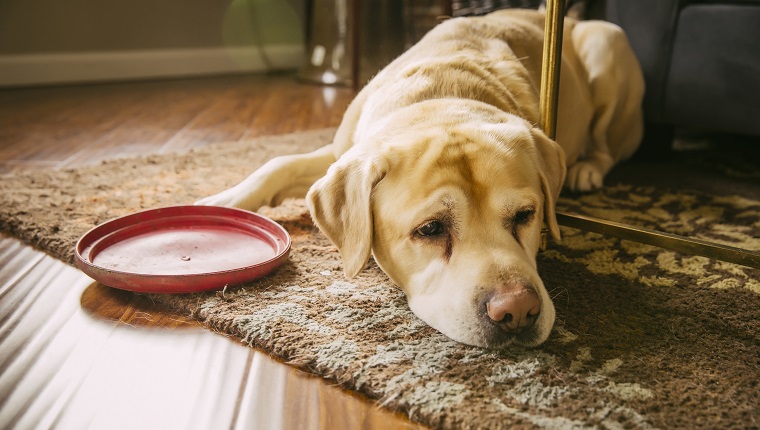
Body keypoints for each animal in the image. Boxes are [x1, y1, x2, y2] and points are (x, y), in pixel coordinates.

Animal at [196, 8, 640, 348]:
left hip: (608, 43)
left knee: (606, 146)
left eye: (525, 216)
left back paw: (586, 169)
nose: (517, 310)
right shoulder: (341, 151)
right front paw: (220, 202)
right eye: (430, 229)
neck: (439, 99)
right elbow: (278, 162)